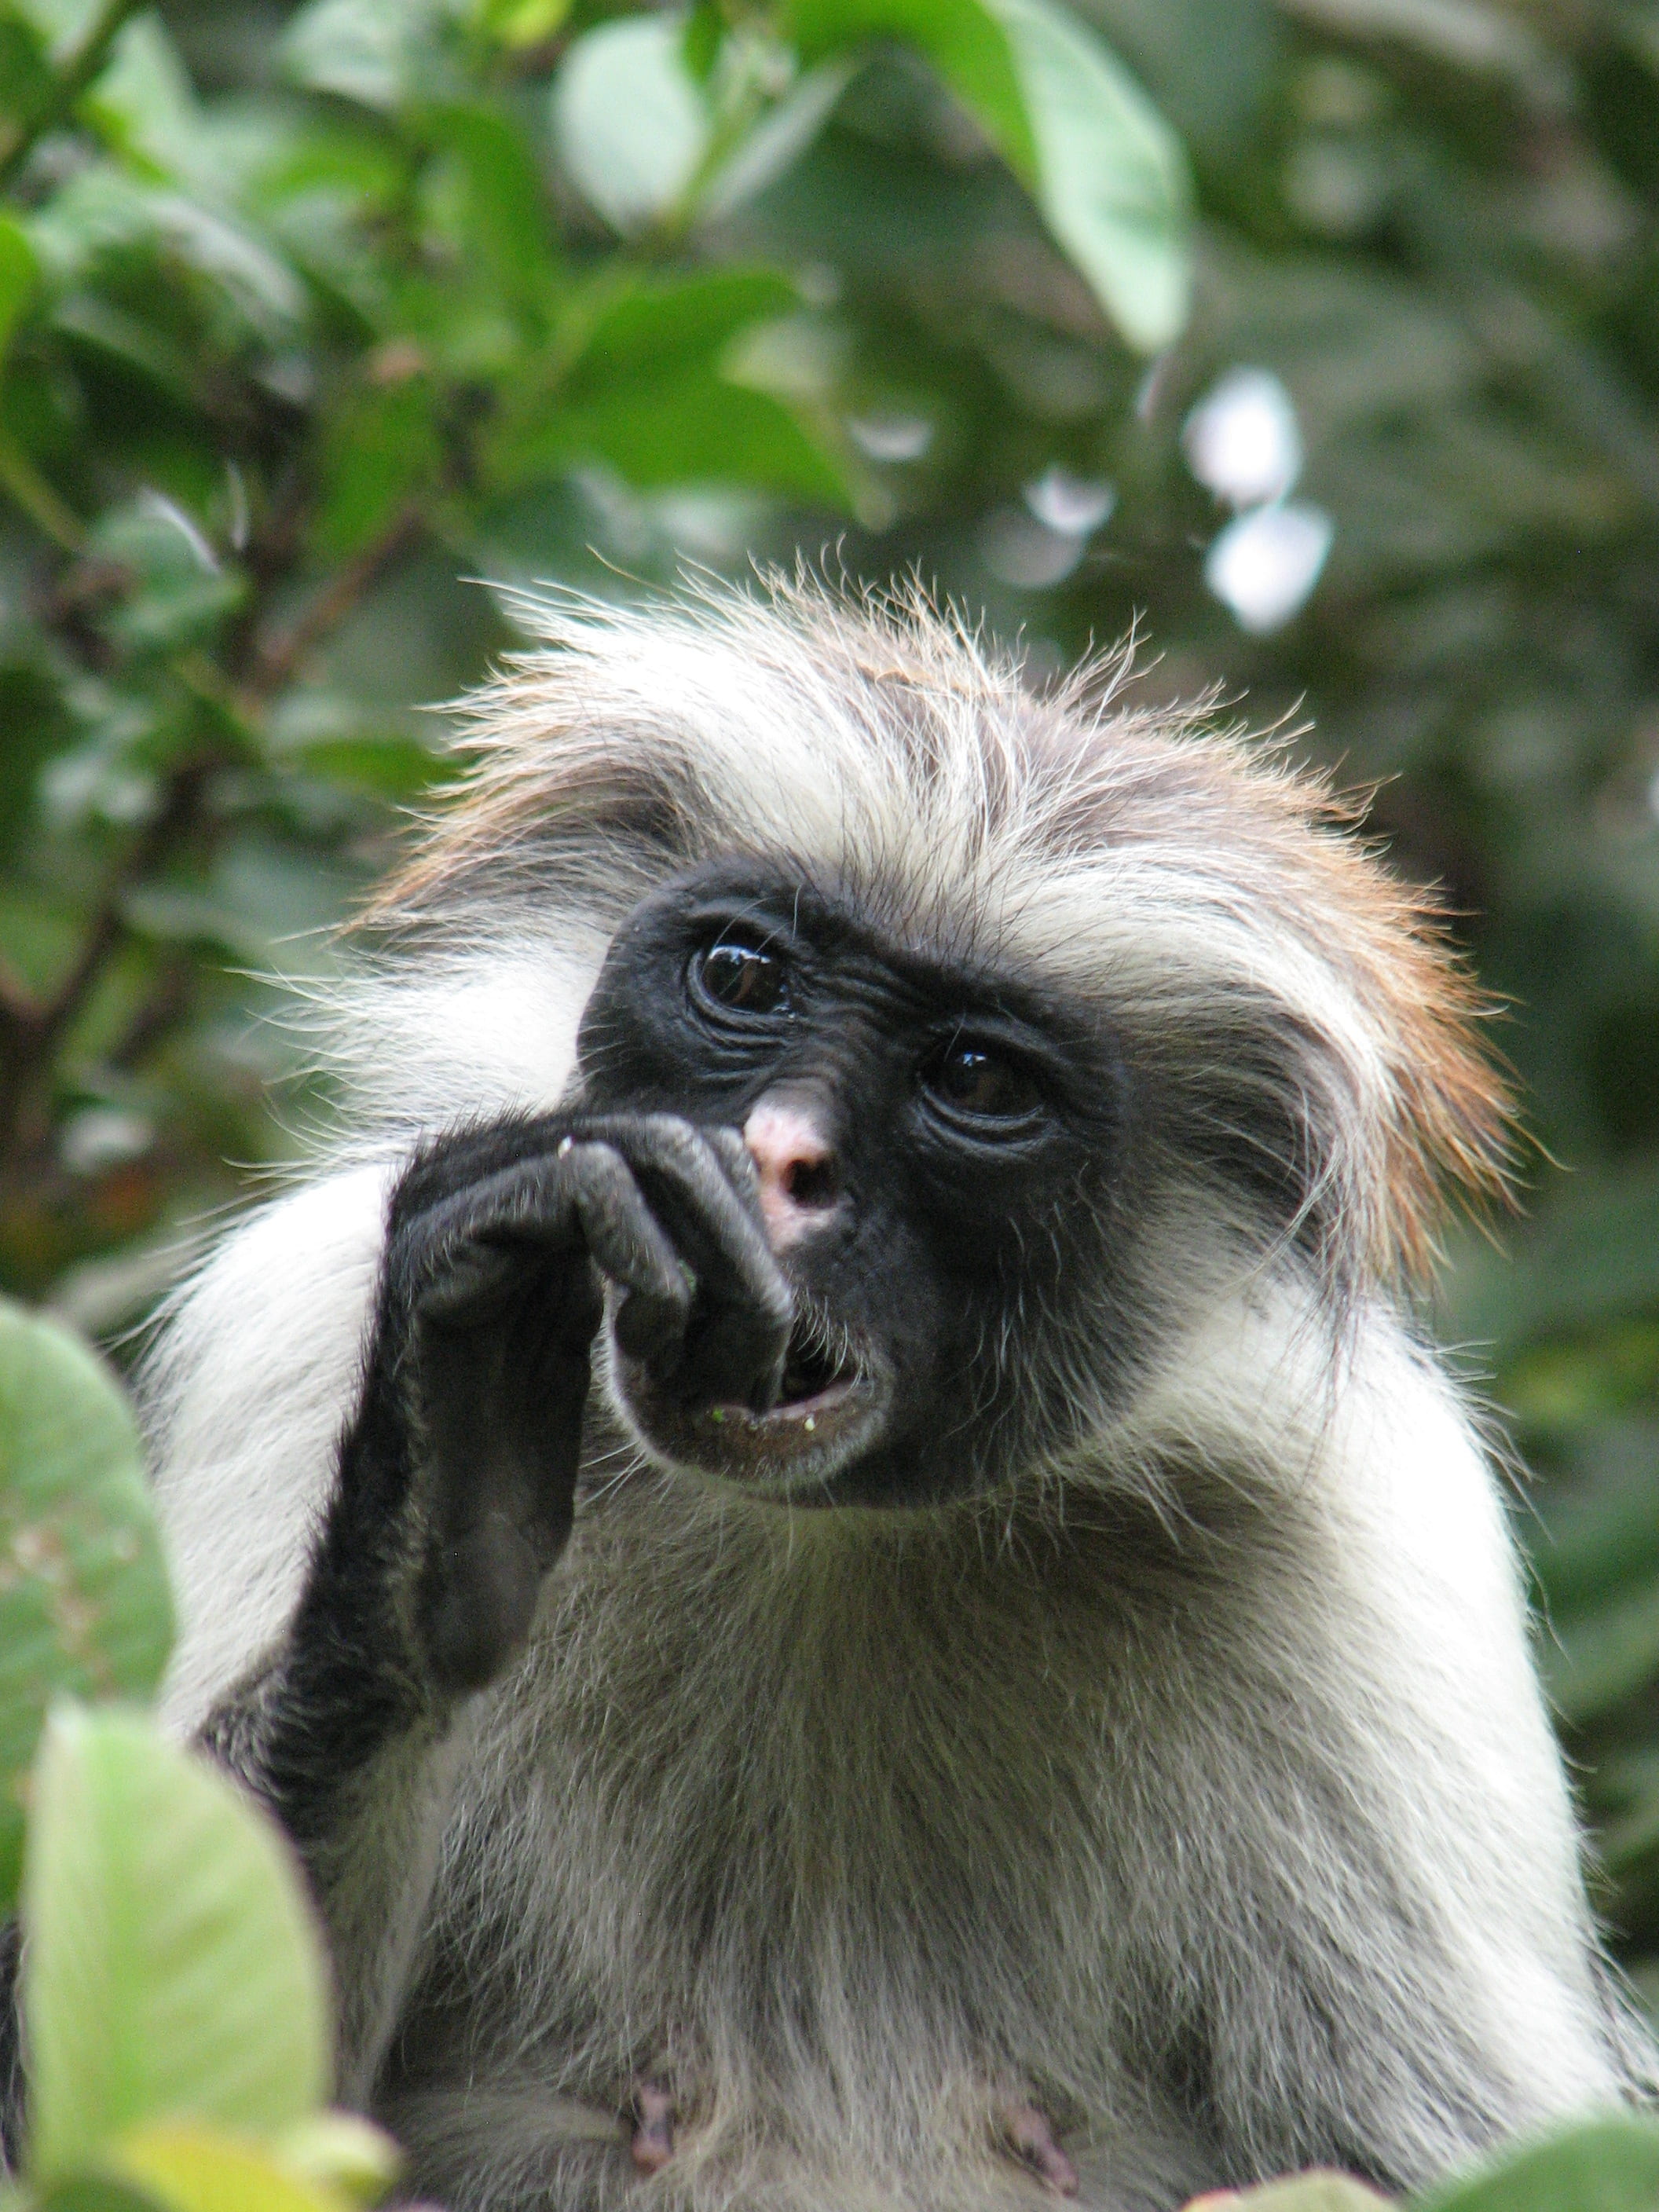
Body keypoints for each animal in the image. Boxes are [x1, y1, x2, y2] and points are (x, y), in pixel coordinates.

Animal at [126, 578, 1649, 2212]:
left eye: (974, 1079)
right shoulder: (300, 1318)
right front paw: (447, 1451)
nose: (783, 1158)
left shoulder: (1377, 1539)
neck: (816, 1531)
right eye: (742, 979)